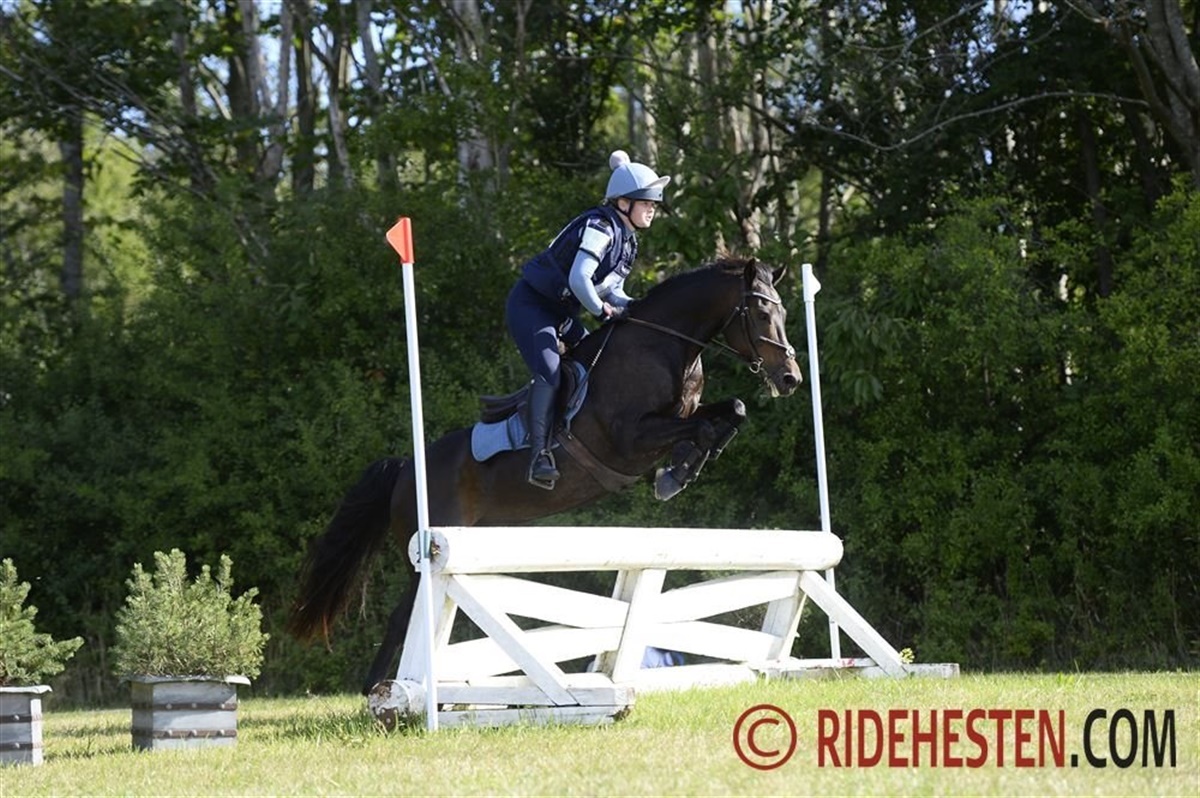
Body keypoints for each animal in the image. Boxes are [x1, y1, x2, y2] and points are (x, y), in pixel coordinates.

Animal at [287, 256, 804, 694]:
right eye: (761, 312)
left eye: (780, 310)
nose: (791, 378)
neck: (664, 346)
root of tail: (404, 470)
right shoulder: (630, 439)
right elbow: (702, 425)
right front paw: (677, 470)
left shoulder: (681, 416)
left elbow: (731, 410)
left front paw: (682, 468)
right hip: (429, 550)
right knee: (402, 619)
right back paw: (380, 691)